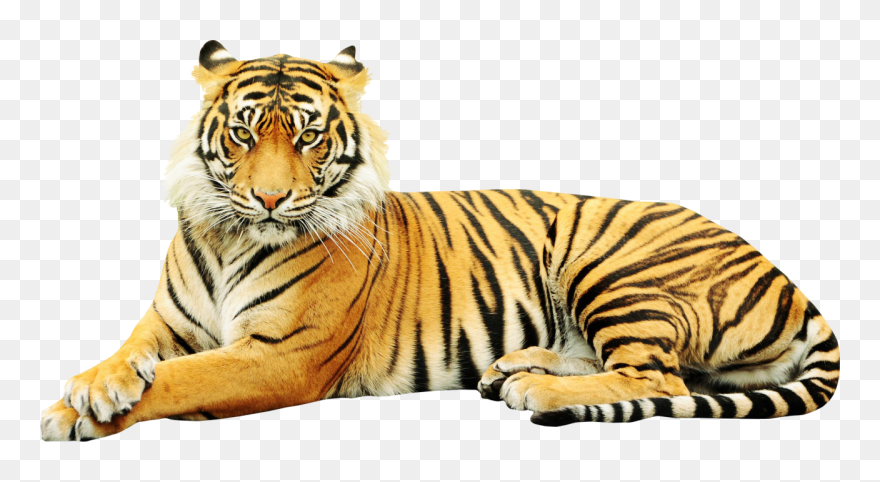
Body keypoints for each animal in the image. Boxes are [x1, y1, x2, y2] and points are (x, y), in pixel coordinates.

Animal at [40, 41, 840, 441]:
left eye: (306, 136)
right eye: (243, 133)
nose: (269, 198)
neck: (232, 235)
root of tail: (789, 280)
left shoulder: (280, 356)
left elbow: (182, 380)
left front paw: (75, 413)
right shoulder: (168, 323)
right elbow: (133, 354)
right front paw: (92, 386)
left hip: (613, 264)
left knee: (660, 378)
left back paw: (534, 388)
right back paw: (512, 368)